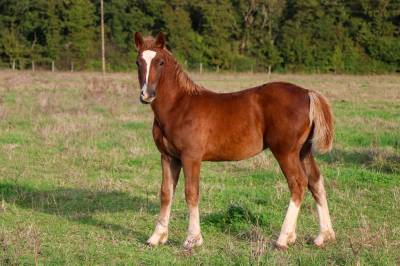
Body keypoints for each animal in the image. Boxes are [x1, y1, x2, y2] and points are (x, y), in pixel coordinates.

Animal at [136, 32, 336, 250]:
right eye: (138, 62)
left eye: (160, 61)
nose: (147, 94)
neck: (178, 106)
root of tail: (308, 93)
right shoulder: (168, 157)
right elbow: (166, 193)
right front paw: (156, 237)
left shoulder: (191, 157)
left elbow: (191, 193)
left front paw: (192, 239)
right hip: (303, 152)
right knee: (315, 181)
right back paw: (324, 236)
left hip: (286, 152)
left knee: (298, 183)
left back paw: (284, 238)